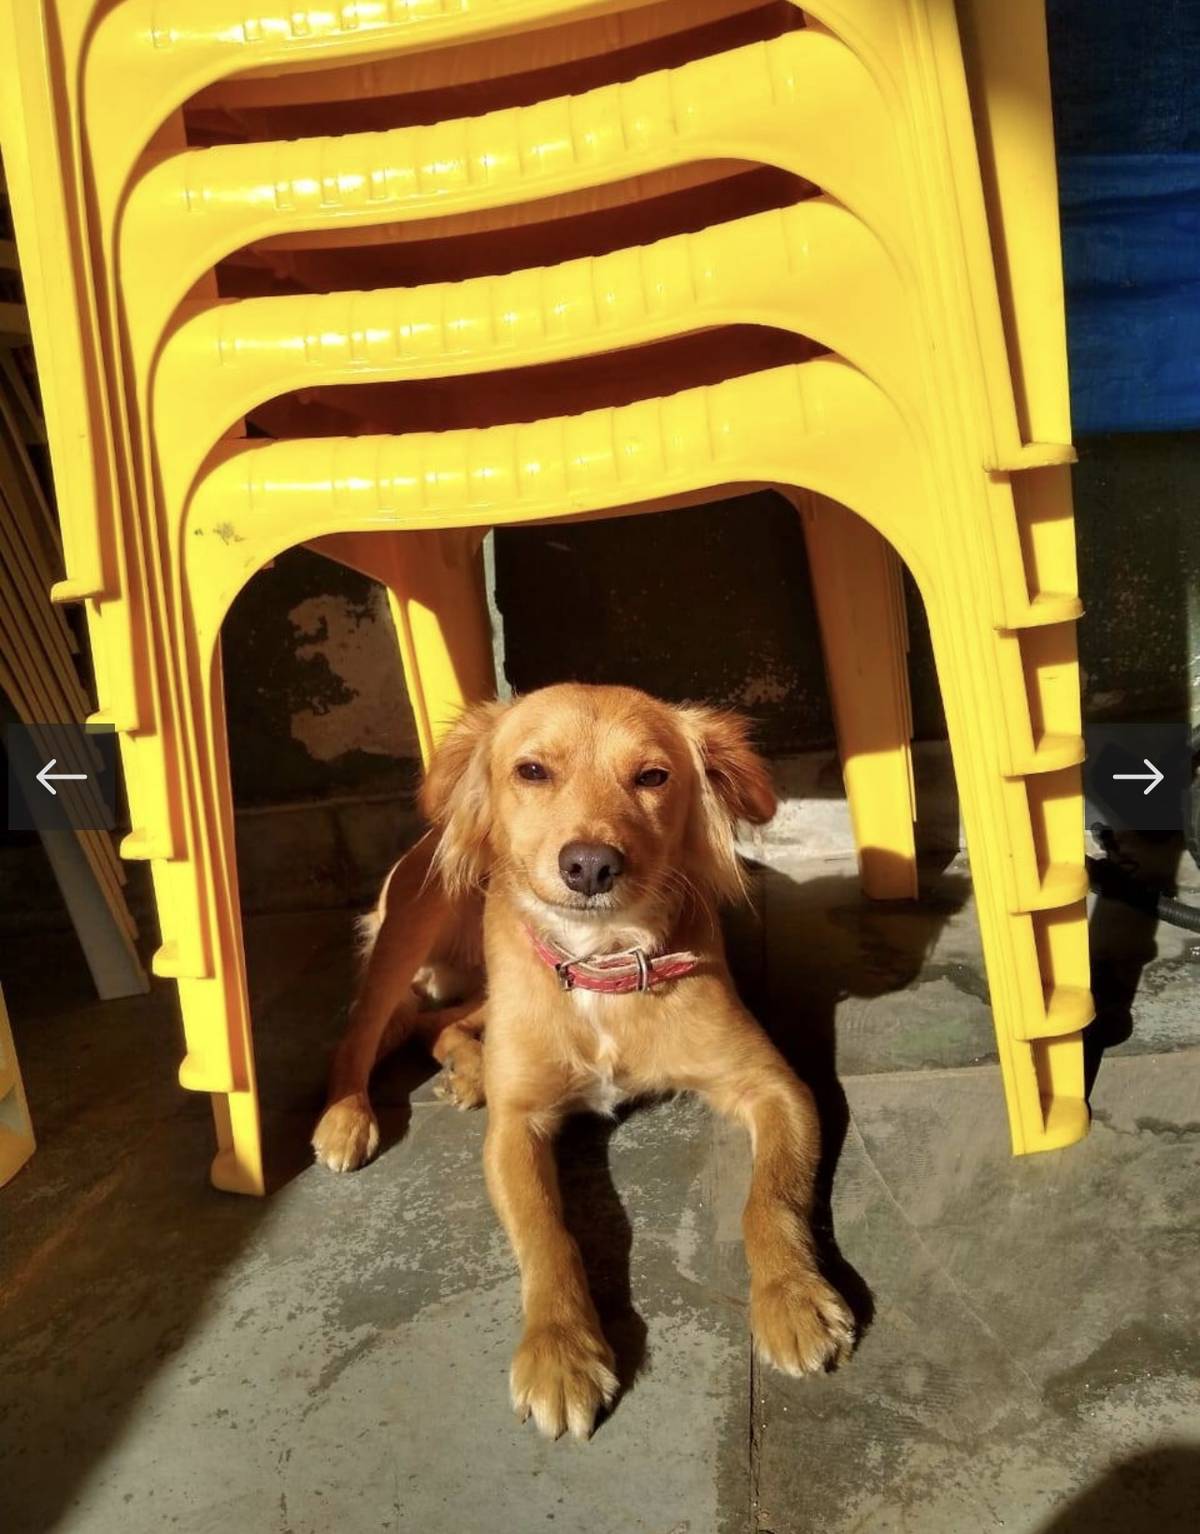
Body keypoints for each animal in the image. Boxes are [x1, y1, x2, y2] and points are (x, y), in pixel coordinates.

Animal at [312, 682, 853, 1438]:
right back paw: (348, 1119)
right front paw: (560, 1350)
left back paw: (466, 1069)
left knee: (431, 1023)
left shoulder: (775, 1087)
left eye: (653, 776)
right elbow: (548, 1234)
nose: (591, 865)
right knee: (366, 1030)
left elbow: (769, 1199)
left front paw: (791, 1295)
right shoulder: (516, 1128)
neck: (601, 961)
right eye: (533, 770)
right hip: (413, 925)